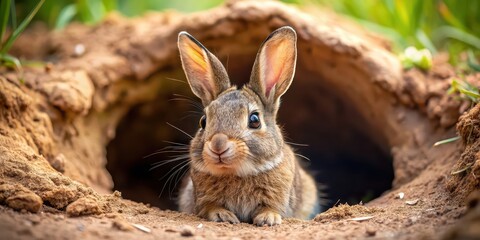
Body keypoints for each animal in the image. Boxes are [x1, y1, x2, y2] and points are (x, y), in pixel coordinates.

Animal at [176, 26, 318, 227]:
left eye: (254, 120)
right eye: (203, 121)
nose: (218, 145)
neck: (237, 173)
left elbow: (273, 208)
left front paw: (268, 218)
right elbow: (211, 207)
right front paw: (223, 216)